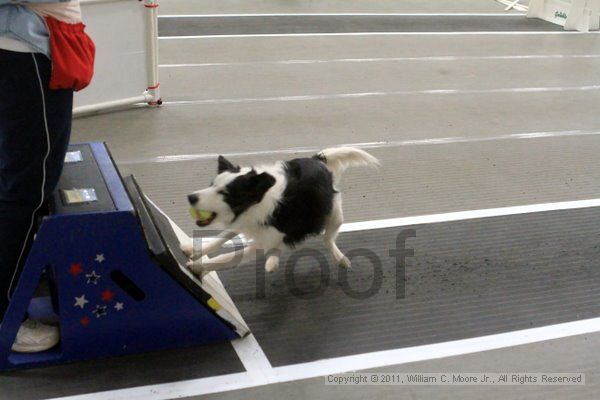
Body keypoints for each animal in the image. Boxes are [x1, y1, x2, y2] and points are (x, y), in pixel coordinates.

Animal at [183, 148, 380, 276]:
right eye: (211, 185)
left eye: (225, 194)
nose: (190, 197)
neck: (259, 203)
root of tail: (317, 159)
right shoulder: (246, 223)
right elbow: (220, 238)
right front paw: (193, 249)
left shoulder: (265, 238)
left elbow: (227, 256)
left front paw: (197, 266)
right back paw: (273, 262)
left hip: (334, 215)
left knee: (328, 239)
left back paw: (340, 258)